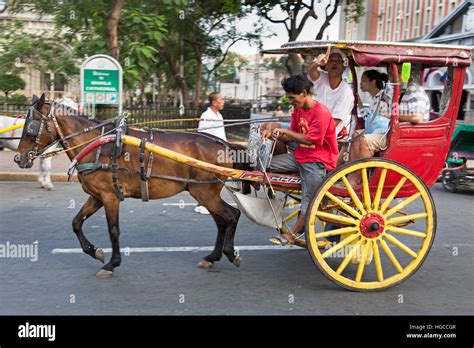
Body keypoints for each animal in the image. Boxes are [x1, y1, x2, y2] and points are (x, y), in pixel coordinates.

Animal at [14, 94, 246, 278]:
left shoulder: (110, 197)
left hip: (205, 192)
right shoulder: (97, 196)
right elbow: (76, 223)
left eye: (31, 126)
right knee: (222, 222)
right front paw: (95, 251)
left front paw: (112, 263)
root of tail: (224, 144)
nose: (19, 158)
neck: (97, 146)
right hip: (203, 192)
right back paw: (212, 256)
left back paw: (230, 253)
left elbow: (113, 230)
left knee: (232, 215)